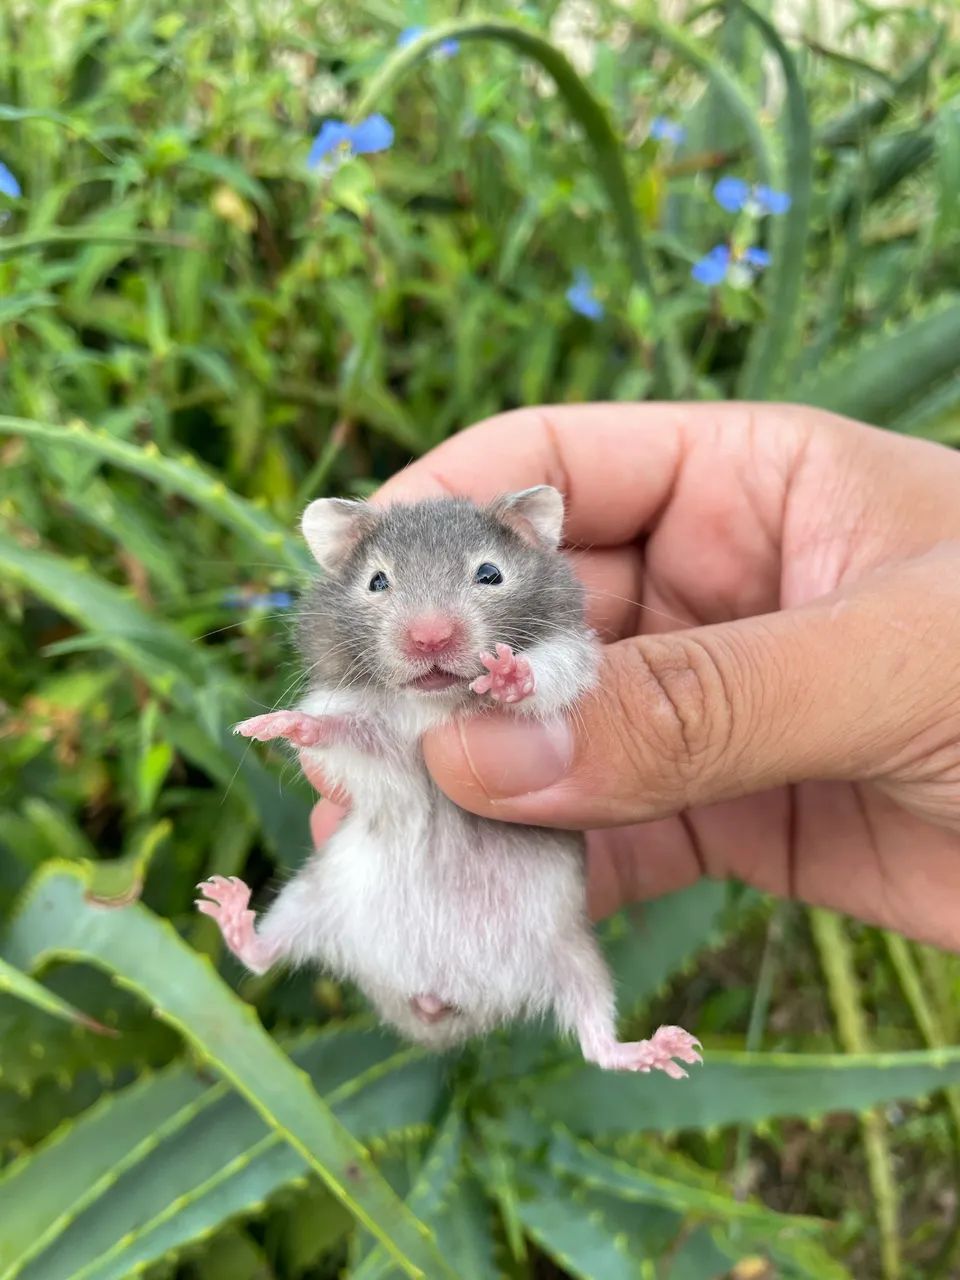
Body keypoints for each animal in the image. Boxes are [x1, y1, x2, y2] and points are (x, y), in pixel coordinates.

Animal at [197, 486, 700, 1076]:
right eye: (377, 582)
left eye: (490, 573)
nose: (429, 638)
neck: (437, 703)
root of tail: (436, 1007)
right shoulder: (381, 746)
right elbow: (341, 729)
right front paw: (268, 726)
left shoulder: (570, 661)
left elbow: (543, 678)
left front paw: (507, 675)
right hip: (311, 899)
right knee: (262, 956)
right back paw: (225, 902)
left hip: (576, 954)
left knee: (597, 1042)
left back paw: (666, 1050)